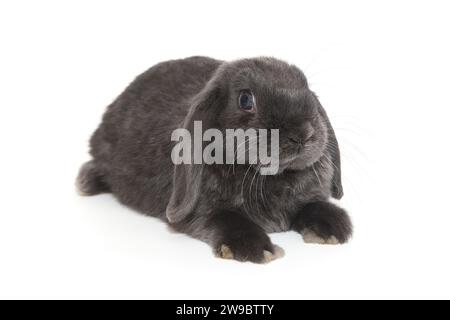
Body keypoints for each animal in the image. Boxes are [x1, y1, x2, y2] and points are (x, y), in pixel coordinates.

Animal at [76, 56, 352, 264]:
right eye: (245, 99)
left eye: (307, 89)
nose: (303, 134)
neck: (269, 176)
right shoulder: (202, 212)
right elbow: (226, 219)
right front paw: (256, 249)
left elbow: (314, 205)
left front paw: (334, 228)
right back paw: (86, 183)